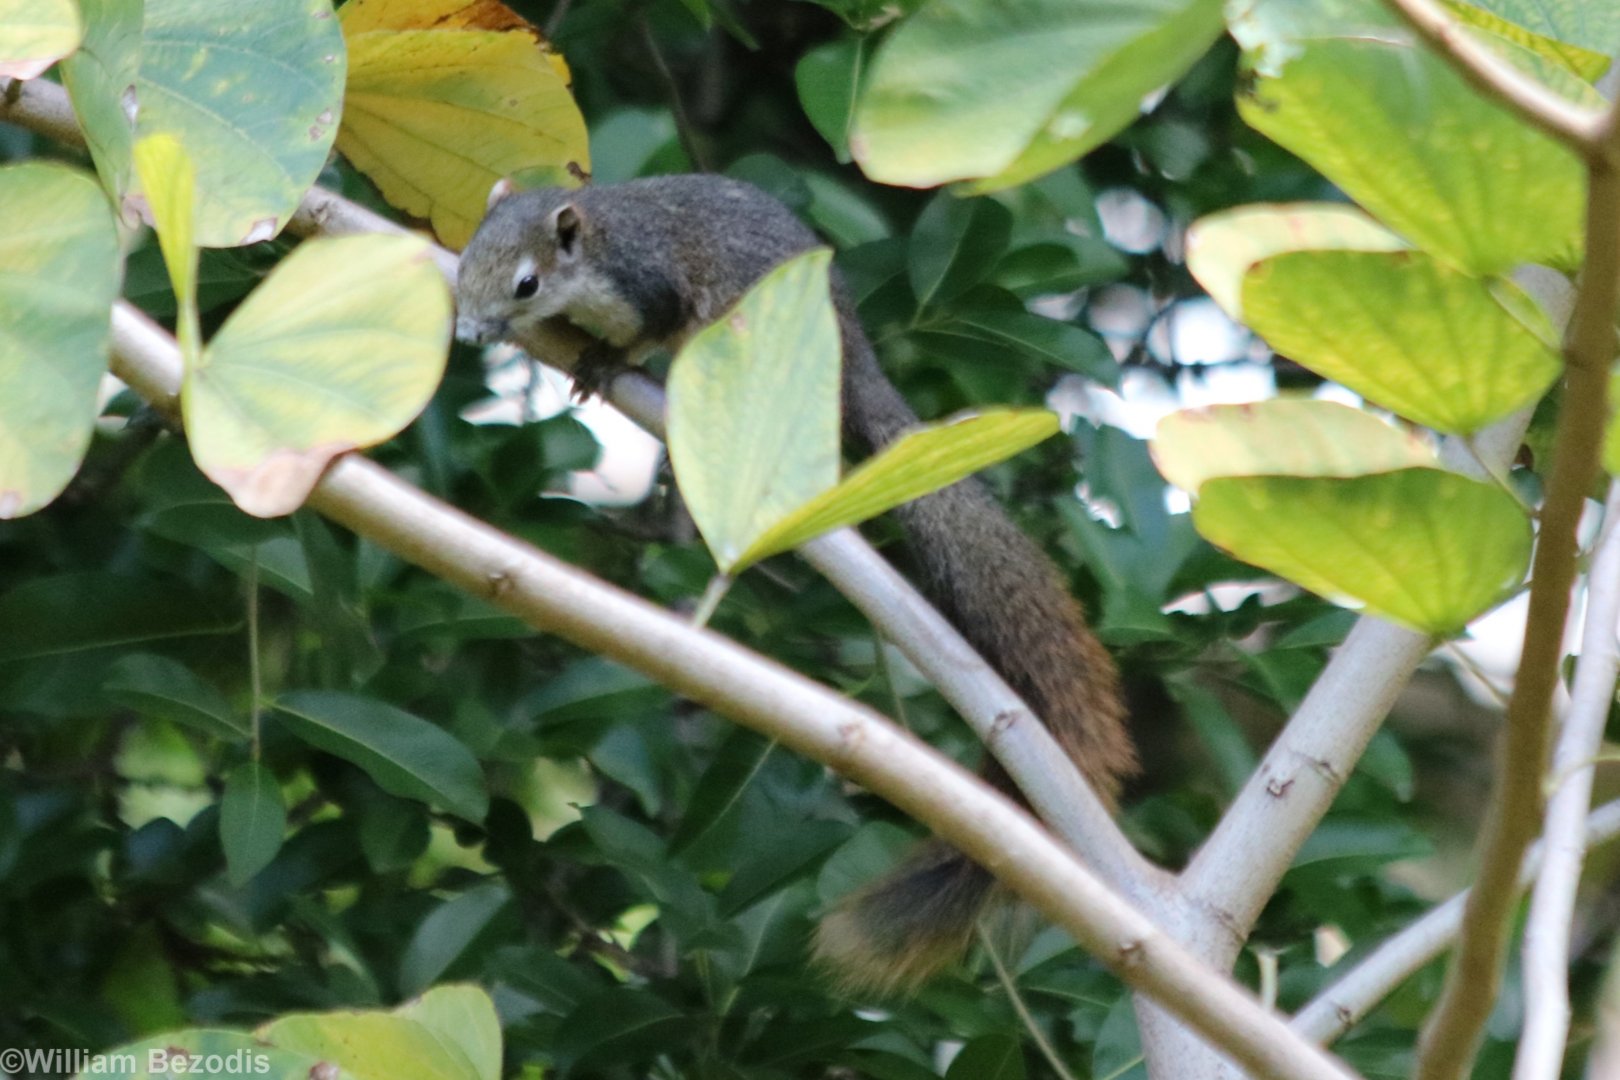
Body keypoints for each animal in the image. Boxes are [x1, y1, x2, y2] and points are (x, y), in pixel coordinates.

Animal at [455, 174, 1138, 994]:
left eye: (525, 283)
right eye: (466, 257)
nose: (469, 332)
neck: (598, 245)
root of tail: (856, 360)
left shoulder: (651, 287)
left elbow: (648, 331)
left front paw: (603, 362)